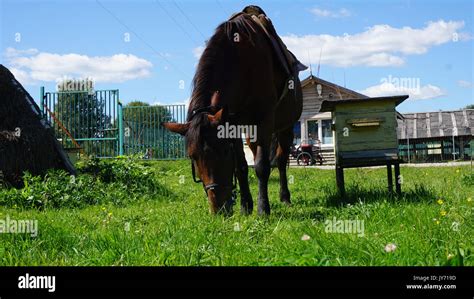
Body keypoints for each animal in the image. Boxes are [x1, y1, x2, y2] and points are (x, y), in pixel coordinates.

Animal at [163, 9, 304, 216]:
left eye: (222, 151)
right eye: (193, 157)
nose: (219, 209)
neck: (243, 63)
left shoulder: (264, 121)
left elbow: (262, 166)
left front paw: (263, 209)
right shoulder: (233, 124)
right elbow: (241, 166)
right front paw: (246, 206)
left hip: (285, 127)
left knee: (280, 160)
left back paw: (285, 197)